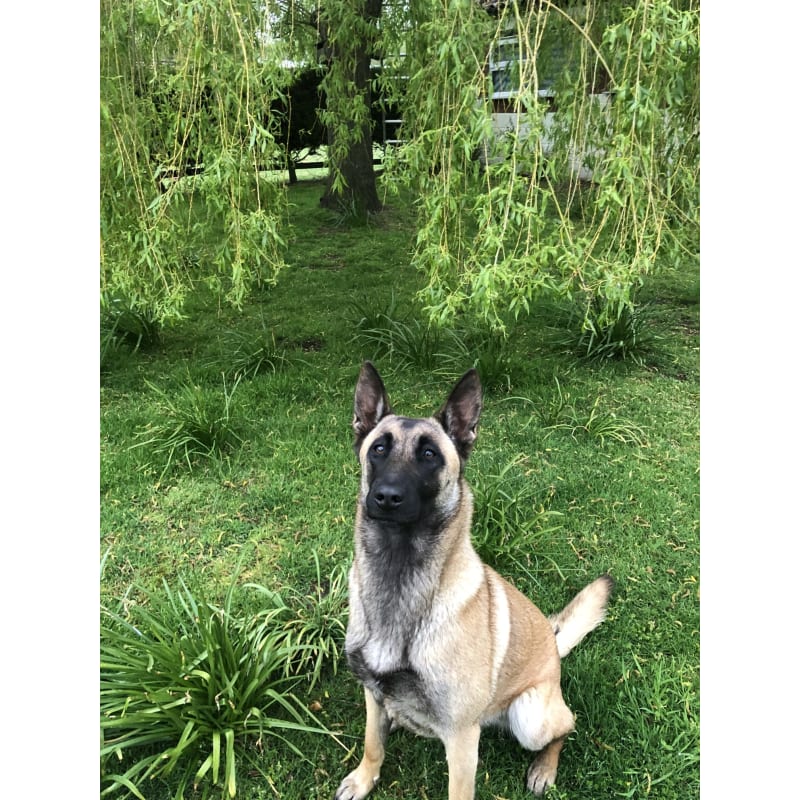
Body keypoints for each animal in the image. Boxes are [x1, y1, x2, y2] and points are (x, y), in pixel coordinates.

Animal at [334, 364, 616, 800]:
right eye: (378, 449)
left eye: (429, 455)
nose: (386, 497)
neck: (398, 574)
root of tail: (554, 651)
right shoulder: (372, 692)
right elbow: (372, 741)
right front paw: (365, 778)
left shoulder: (462, 738)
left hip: (530, 716)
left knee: (565, 726)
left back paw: (544, 768)